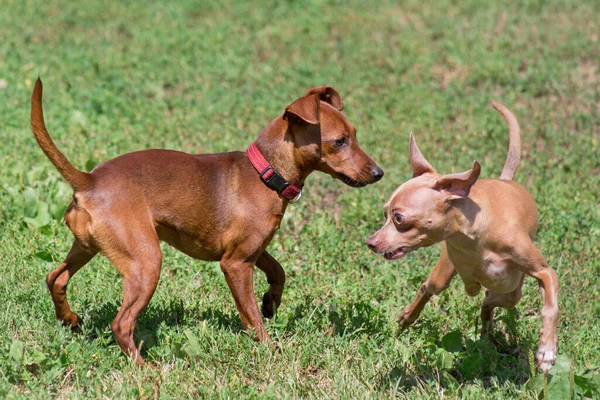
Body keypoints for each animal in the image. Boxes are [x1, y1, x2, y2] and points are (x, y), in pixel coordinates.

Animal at [30, 79, 382, 366]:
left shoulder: (251, 251)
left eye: (355, 136)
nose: (379, 173)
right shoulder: (236, 264)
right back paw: (147, 370)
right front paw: (270, 348)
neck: (265, 173)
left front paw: (271, 302)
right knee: (121, 323)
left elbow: (278, 272)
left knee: (55, 278)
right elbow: (251, 316)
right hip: (146, 263)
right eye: (340, 141)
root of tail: (88, 180)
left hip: (87, 248)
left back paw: (69, 319)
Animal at [366, 101, 556, 376]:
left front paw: (547, 350)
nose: (370, 243)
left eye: (399, 218)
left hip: (511, 291)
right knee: (430, 288)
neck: (476, 238)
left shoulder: (543, 272)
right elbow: (471, 287)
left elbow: (550, 304)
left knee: (492, 303)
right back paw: (408, 317)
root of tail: (505, 179)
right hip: (444, 277)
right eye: (384, 214)